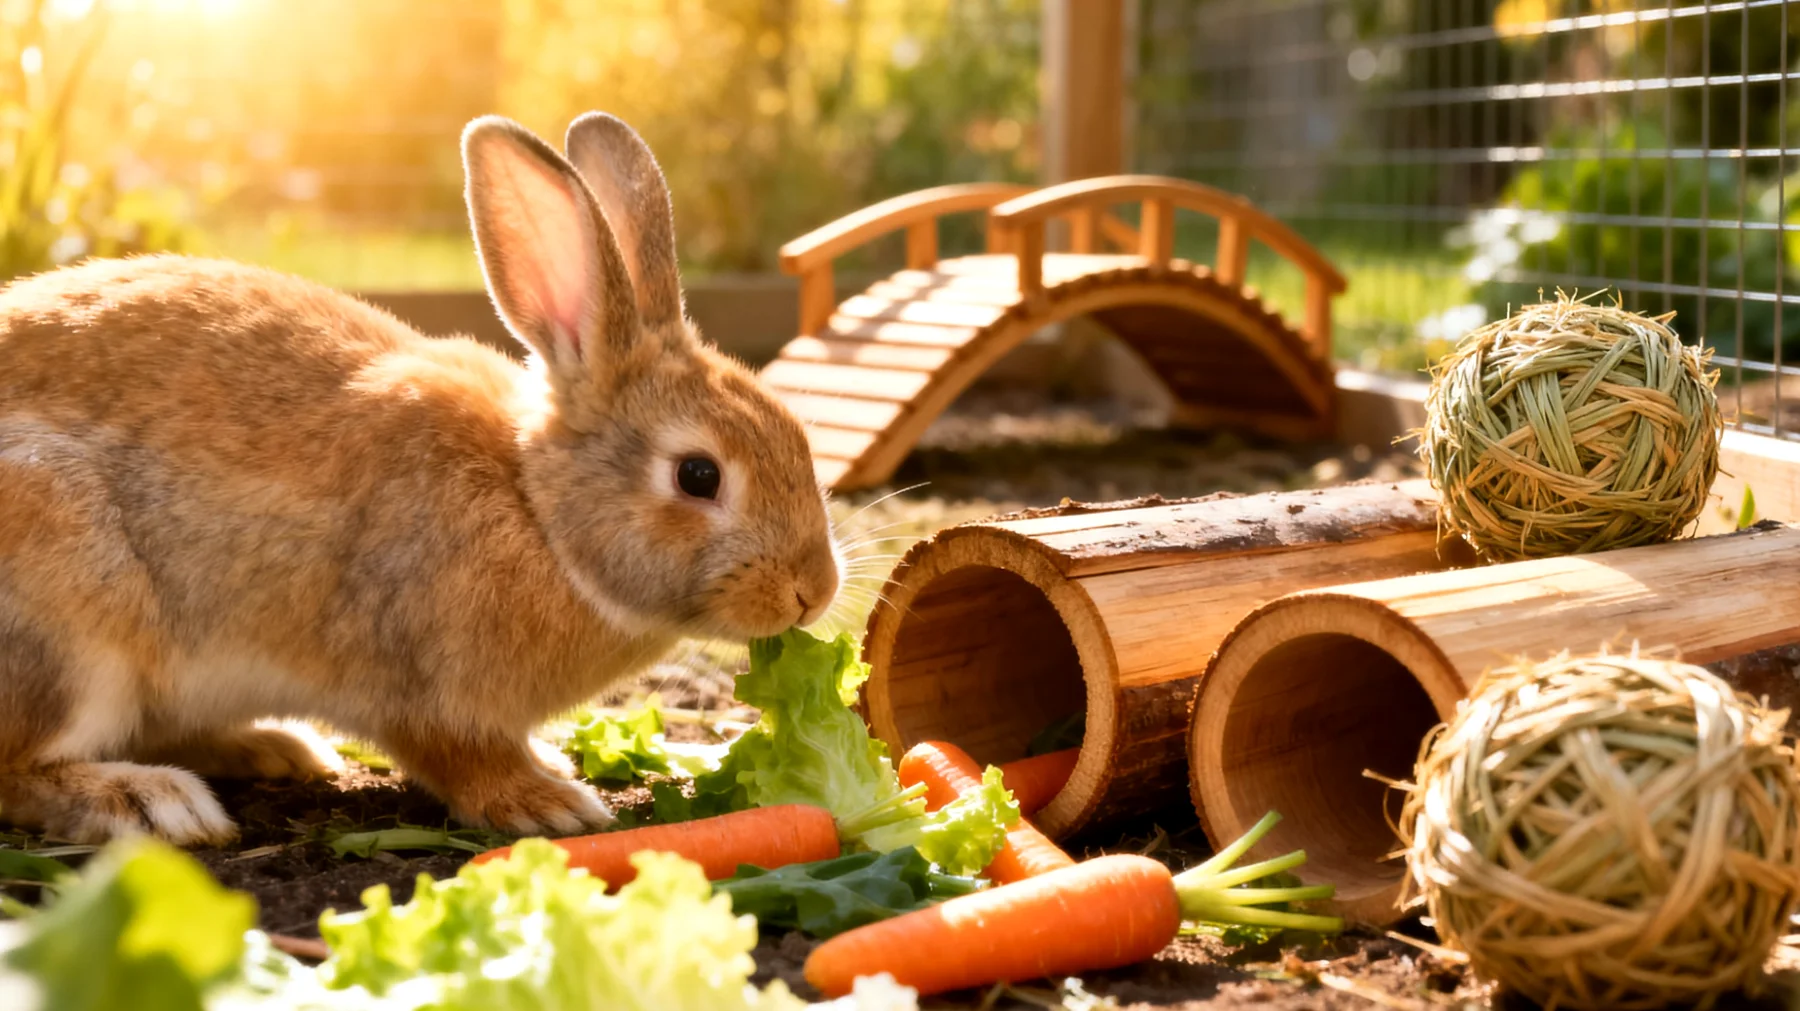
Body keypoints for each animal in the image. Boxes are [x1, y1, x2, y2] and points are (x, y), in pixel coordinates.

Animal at [0, 111, 842, 845]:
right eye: (698, 474)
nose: (814, 590)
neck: (537, 509)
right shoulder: (424, 686)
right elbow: (457, 754)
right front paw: (547, 801)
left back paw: (274, 747)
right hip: (70, 618)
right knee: (20, 767)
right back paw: (151, 801)